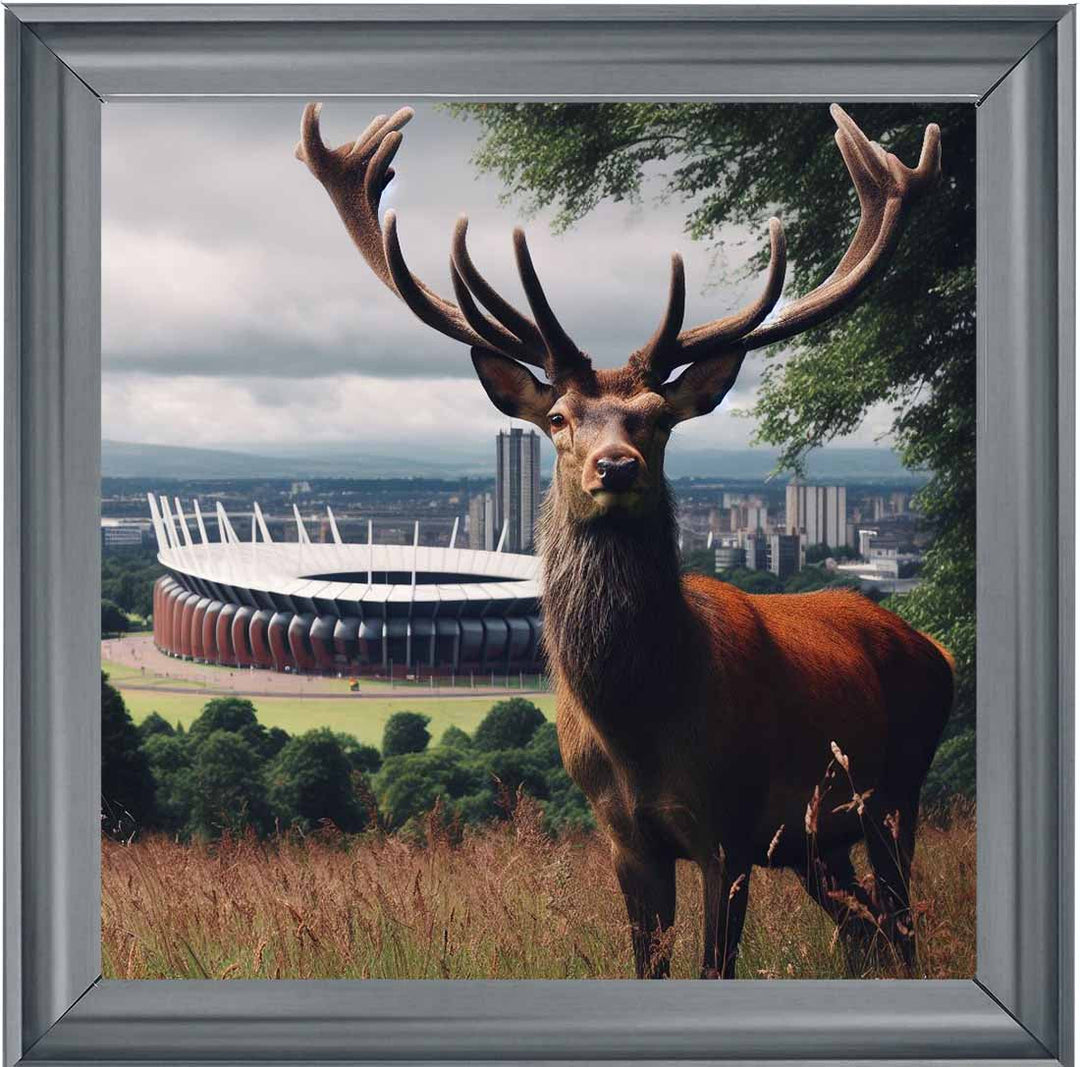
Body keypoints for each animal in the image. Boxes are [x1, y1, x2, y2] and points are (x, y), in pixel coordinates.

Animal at [296, 102, 952, 979]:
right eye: (558, 417)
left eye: (658, 417)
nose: (615, 465)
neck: (644, 723)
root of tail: (936, 648)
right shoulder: (624, 836)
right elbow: (649, 961)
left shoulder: (729, 828)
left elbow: (715, 965)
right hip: (819, 841)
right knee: (864, 928)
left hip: (895, 793)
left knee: (901, 925)